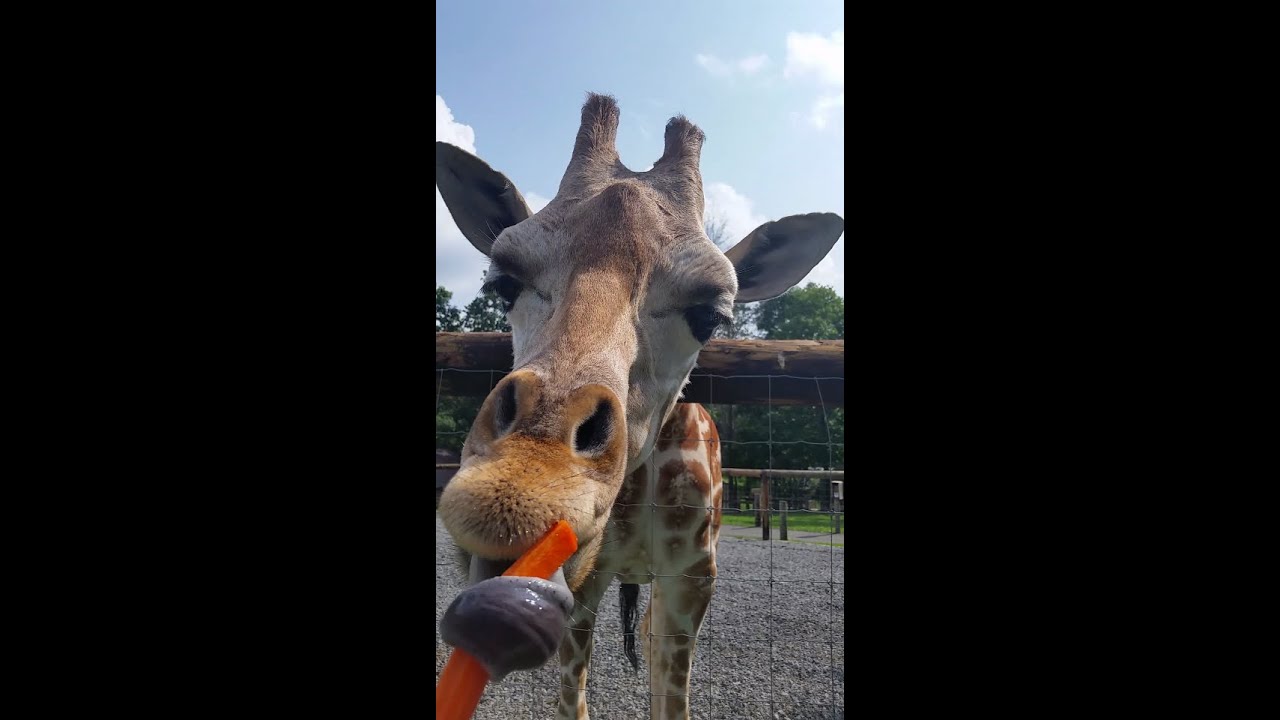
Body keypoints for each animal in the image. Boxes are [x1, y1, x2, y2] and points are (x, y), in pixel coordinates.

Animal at [436, 93, 843, 720]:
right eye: (502, 283)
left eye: (711, 313)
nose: (514, 493)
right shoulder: (583, 583)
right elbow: (573, 700)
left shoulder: (693, 578)